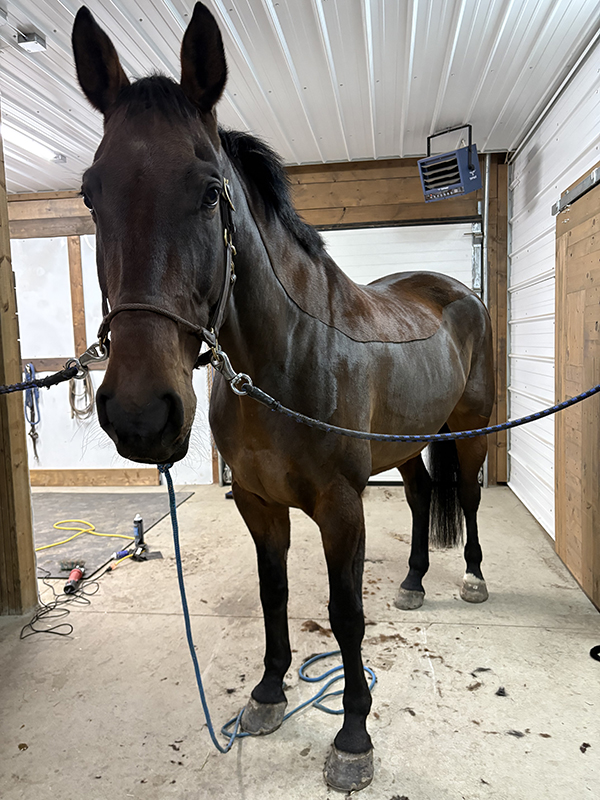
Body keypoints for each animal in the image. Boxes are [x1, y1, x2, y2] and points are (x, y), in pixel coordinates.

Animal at [72, 3, 494, 792]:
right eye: (91, 193)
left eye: (211, 191)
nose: (141, 414)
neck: (283, 362)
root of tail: (454, 289)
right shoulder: (259, 503)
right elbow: (275, 594)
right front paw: (269, 692)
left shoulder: (341, 506)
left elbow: (345, 612)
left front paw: (354, 735)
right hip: (407, 444)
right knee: (423, 496)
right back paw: (415, 580)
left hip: (471, 430)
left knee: (472, 496)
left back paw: (475, 578)